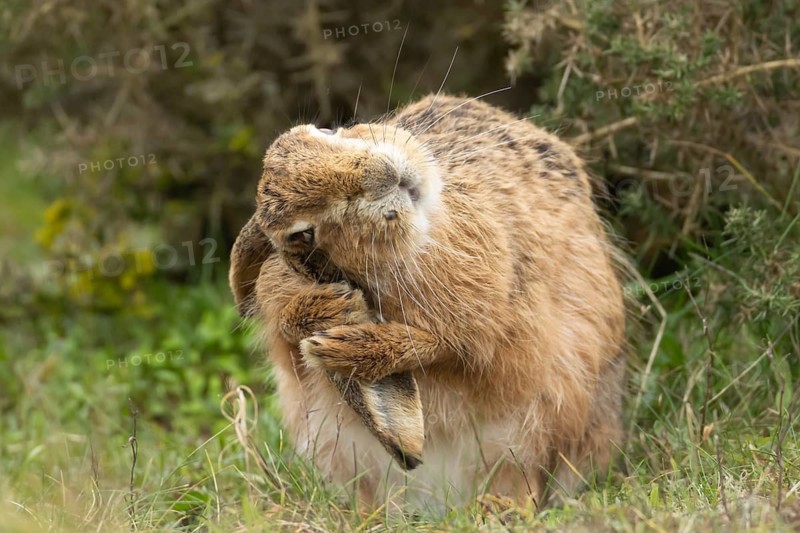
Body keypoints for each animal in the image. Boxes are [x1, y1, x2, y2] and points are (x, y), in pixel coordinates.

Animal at [230, 93, 627, 511]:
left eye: (327, 129)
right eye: (303, 235)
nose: (383, 174)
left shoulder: (506, 330)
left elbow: (458, 347)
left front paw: (350, 347)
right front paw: (328, 315)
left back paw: (498, 508)